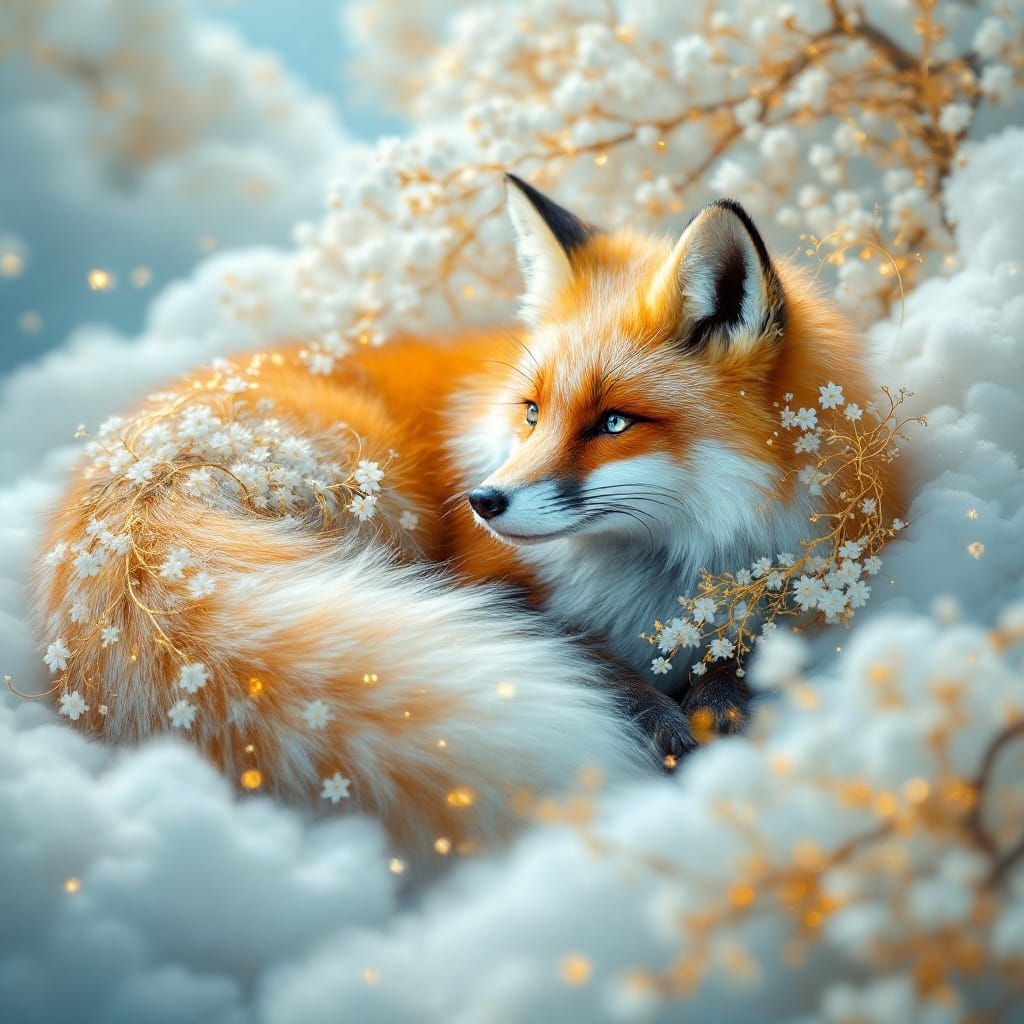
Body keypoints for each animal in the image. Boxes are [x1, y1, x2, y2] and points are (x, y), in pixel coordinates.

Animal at [31, 175, 902, 860]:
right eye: (532, 411)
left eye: (614, 422)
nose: (483, 501)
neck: (666, 582)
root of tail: (136, 472)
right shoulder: (491, 585)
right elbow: (591, 663)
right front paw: (663, 729)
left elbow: (748, 652)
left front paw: (721, 701)